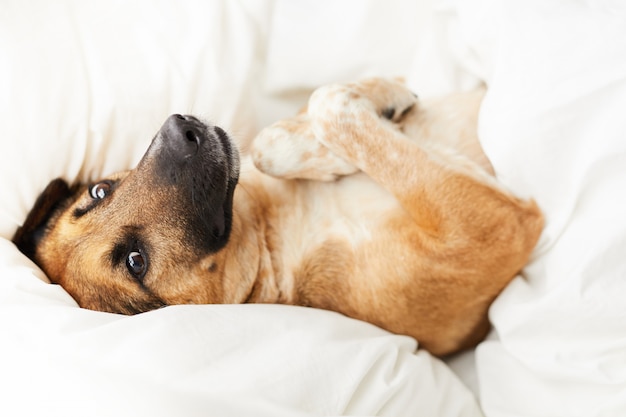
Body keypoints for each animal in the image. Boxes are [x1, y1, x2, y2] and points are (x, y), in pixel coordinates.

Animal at [13, 77, 540, 354]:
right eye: (135, 261)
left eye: (99, 191)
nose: (179, 128)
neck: (271, 234)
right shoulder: (491, 228)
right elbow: (331, 108)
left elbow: (274, 140)